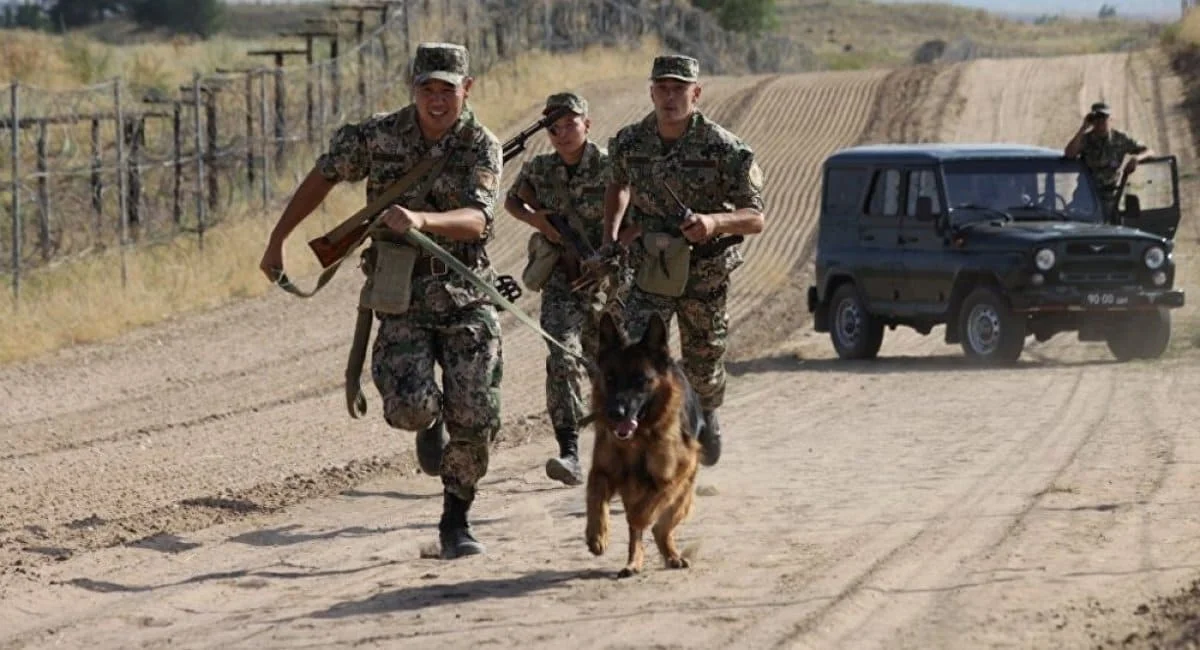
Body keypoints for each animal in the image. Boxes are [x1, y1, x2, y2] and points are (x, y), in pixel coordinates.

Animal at [580, 314, 700, 578]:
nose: (615, 413)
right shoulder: (602, 471)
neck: (638, 440)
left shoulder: (672, 476)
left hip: (683, 496)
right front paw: (597, 534)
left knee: (660, 528)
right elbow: (595, 497)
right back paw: (633, 562)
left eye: (640, 380)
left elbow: (642, 512)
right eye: (610, 378)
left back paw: (672, 555)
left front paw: (637, 519)